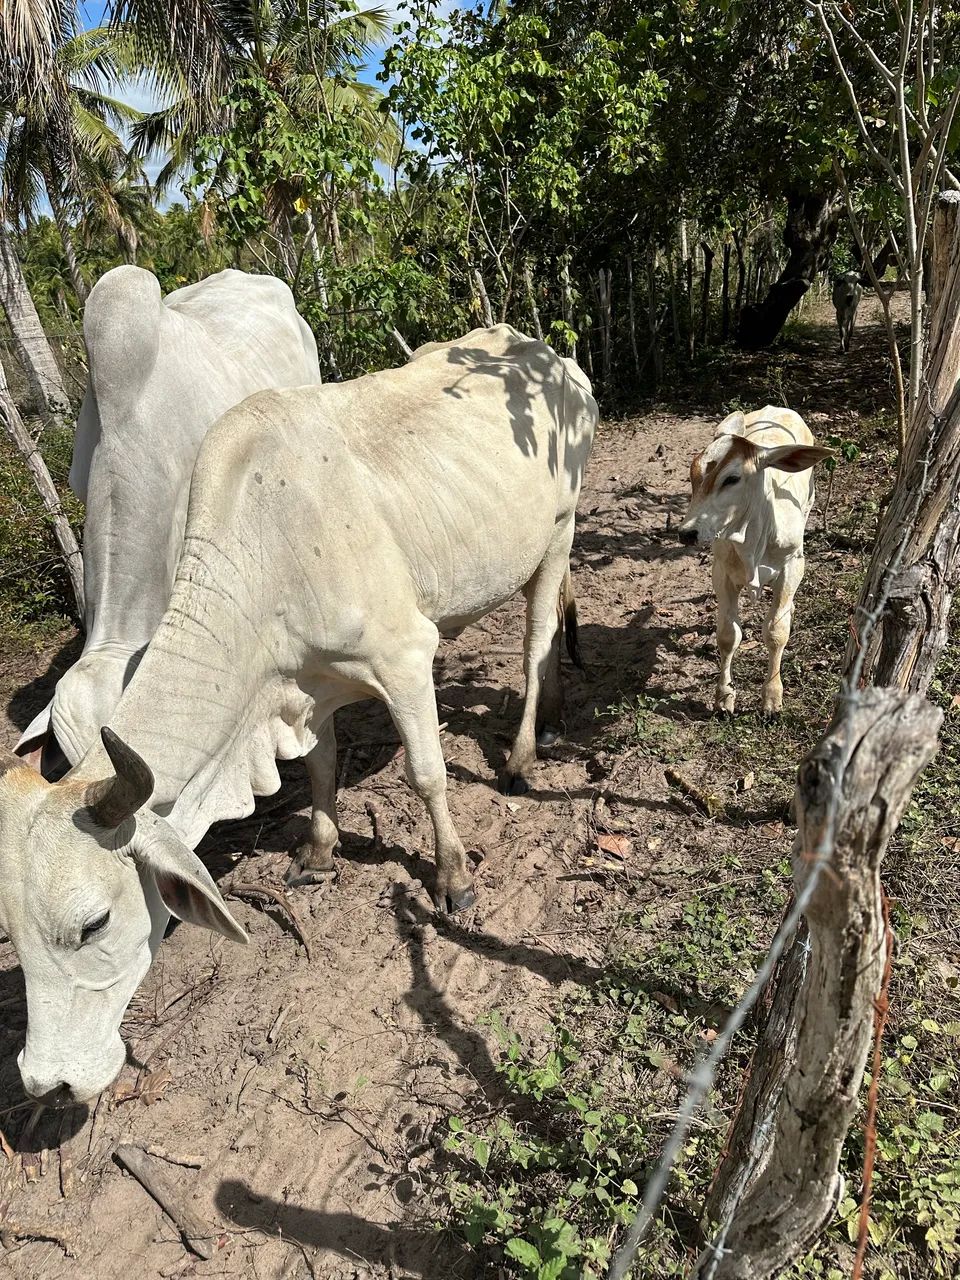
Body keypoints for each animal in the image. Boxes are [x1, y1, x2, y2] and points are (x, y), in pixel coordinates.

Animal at [0, 325, 597, 1104]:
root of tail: (546, 354)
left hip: (558, 531)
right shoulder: (303, 688)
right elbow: (318, 766)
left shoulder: (405, 657)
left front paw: (453, 878)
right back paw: (550, 716)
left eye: (93, 924)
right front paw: (318, 852)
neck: (264, 553)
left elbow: (427, 775)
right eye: (13, 933)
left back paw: (525, 752)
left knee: (536, 640)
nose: (47, 1081)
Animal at [677, 407, 831, 717]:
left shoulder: (792, 565)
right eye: (694, 473)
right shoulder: (721, 572)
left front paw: (772, 697)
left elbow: (776, 632)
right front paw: (724, 697)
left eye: (732, 478)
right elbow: (728, 635)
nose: (687, 532)